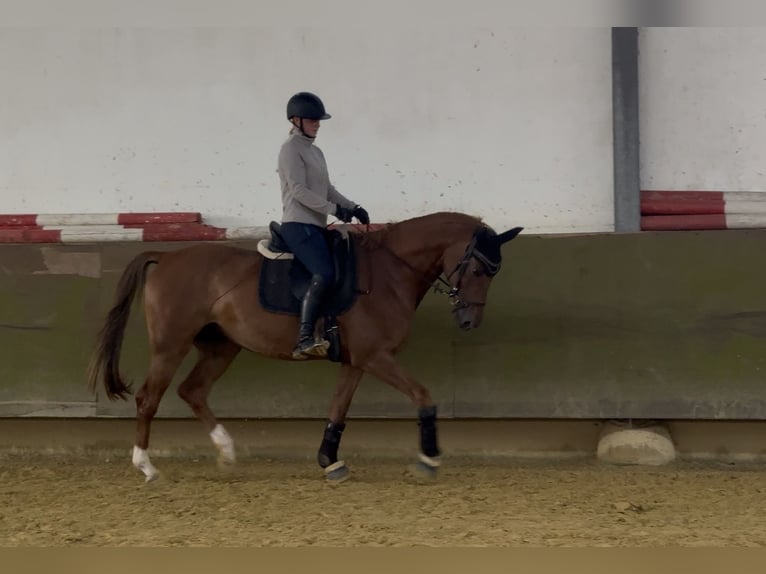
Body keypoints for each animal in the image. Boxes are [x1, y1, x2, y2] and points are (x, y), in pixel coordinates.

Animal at [87, 211, 522, 482]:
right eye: (479, 268)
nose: (468, 322)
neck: (389, 273)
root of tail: (167, 256)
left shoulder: (356, 361)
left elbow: (337, 410)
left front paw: (329, 462)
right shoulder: (376, 357)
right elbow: (423, 396)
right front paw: (429, 459)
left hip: (221, 347)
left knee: (192, 390)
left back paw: (226, 453)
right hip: (170, 346)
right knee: (148, 398)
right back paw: (147, 467)